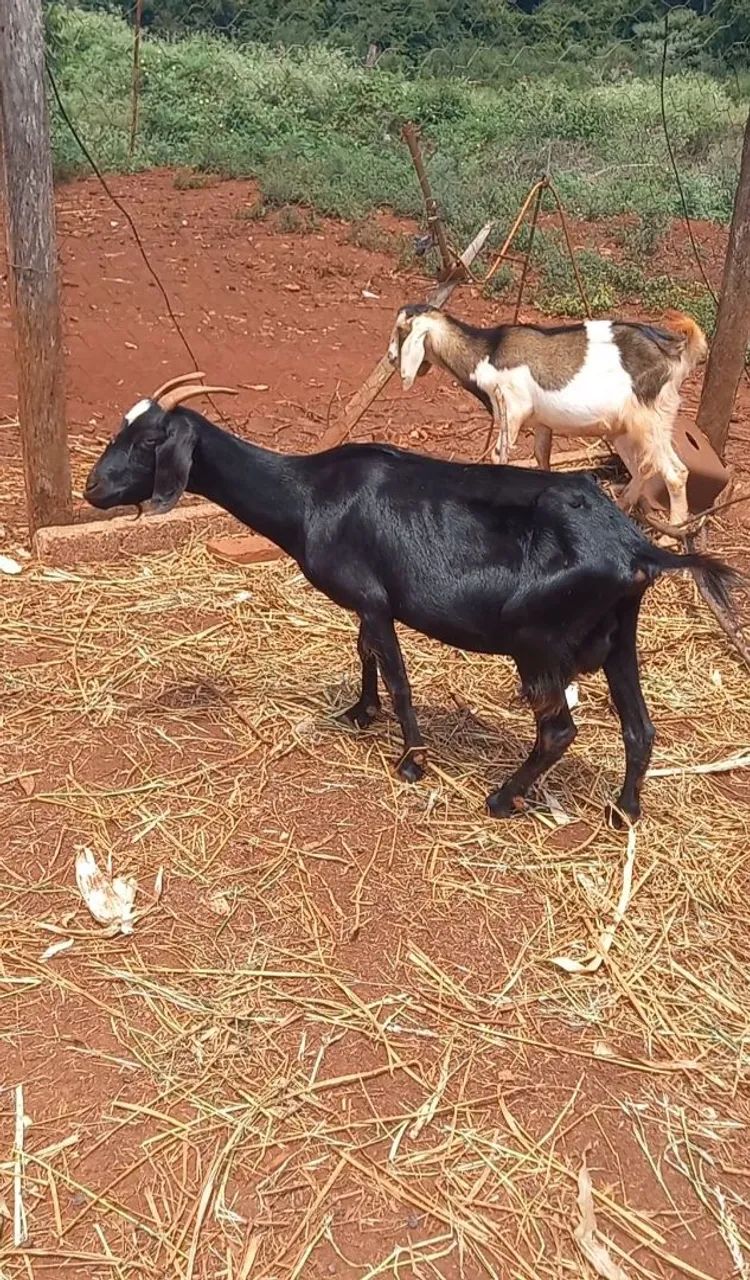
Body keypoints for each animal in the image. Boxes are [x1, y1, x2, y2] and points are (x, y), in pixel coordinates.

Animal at [83, 373, 737, 826]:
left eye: (149, 441)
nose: (92, 489)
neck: (309, 494)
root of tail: (638, 548)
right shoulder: (368, 603)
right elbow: (364, 652)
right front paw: (359, 712)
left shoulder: (374, 597)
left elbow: (394, 672)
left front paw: (412, 760)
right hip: (619, 634)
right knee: (639, 726)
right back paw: (624, 811)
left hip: (537, 639)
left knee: (558, 731)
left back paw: (501, 797)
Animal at [387, 304, 708, 529]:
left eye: (401, 330)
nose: (390, 358)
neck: (486, 353)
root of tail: (675, 354)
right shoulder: (542, 423)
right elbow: (542, 456)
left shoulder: (511, 411)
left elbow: (500, 457)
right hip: (626, 429)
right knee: (645, 465)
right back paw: (624, 503)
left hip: (652, 419)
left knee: (675, 472)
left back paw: (674, 530)